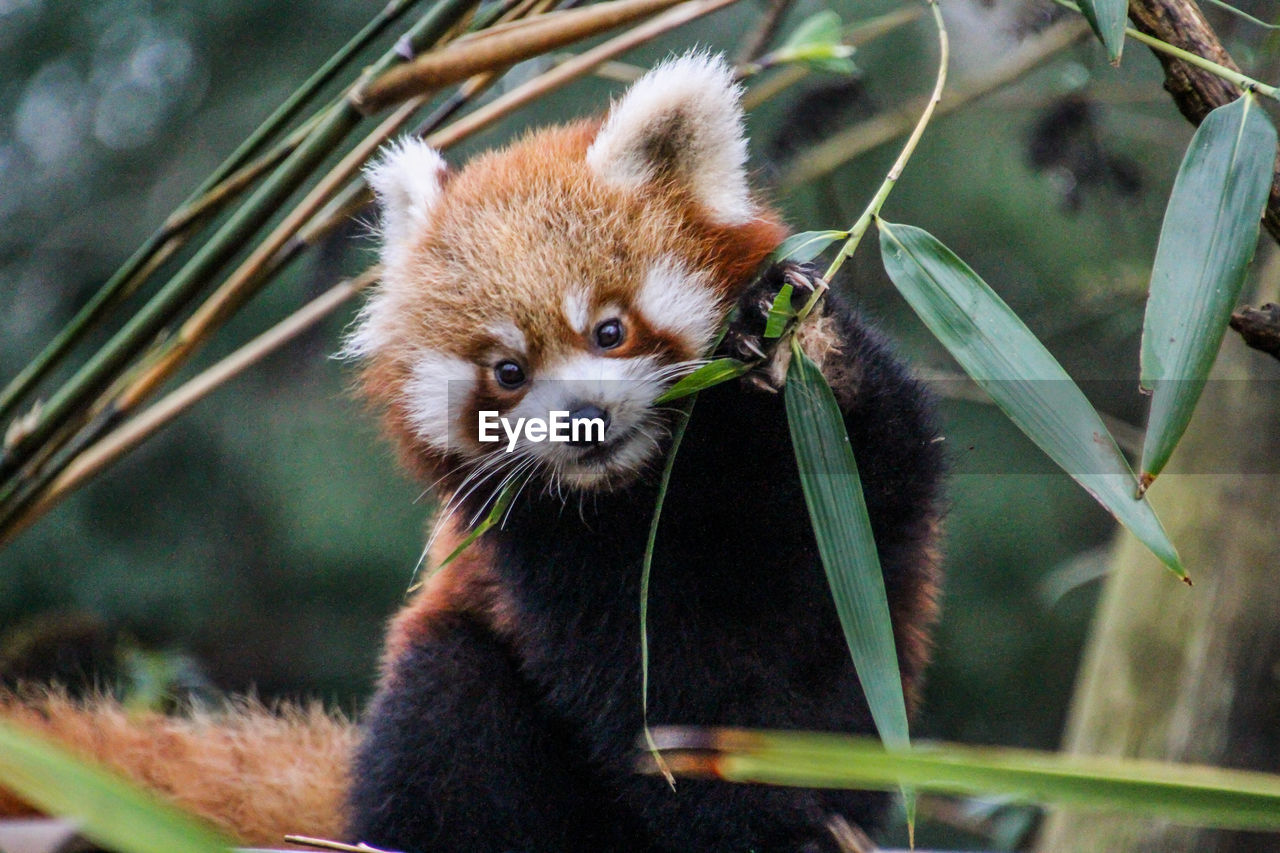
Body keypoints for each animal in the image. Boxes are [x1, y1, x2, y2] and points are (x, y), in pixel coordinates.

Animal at [0, 53, 942, 850]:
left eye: (610, 330)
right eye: (508, 372)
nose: (583, 419)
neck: (662, 487)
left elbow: (885, 467)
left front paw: (788, 340)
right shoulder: (550, 563)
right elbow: (656, 703)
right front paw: (758, 826)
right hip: (438, 699)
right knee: (451, 715)